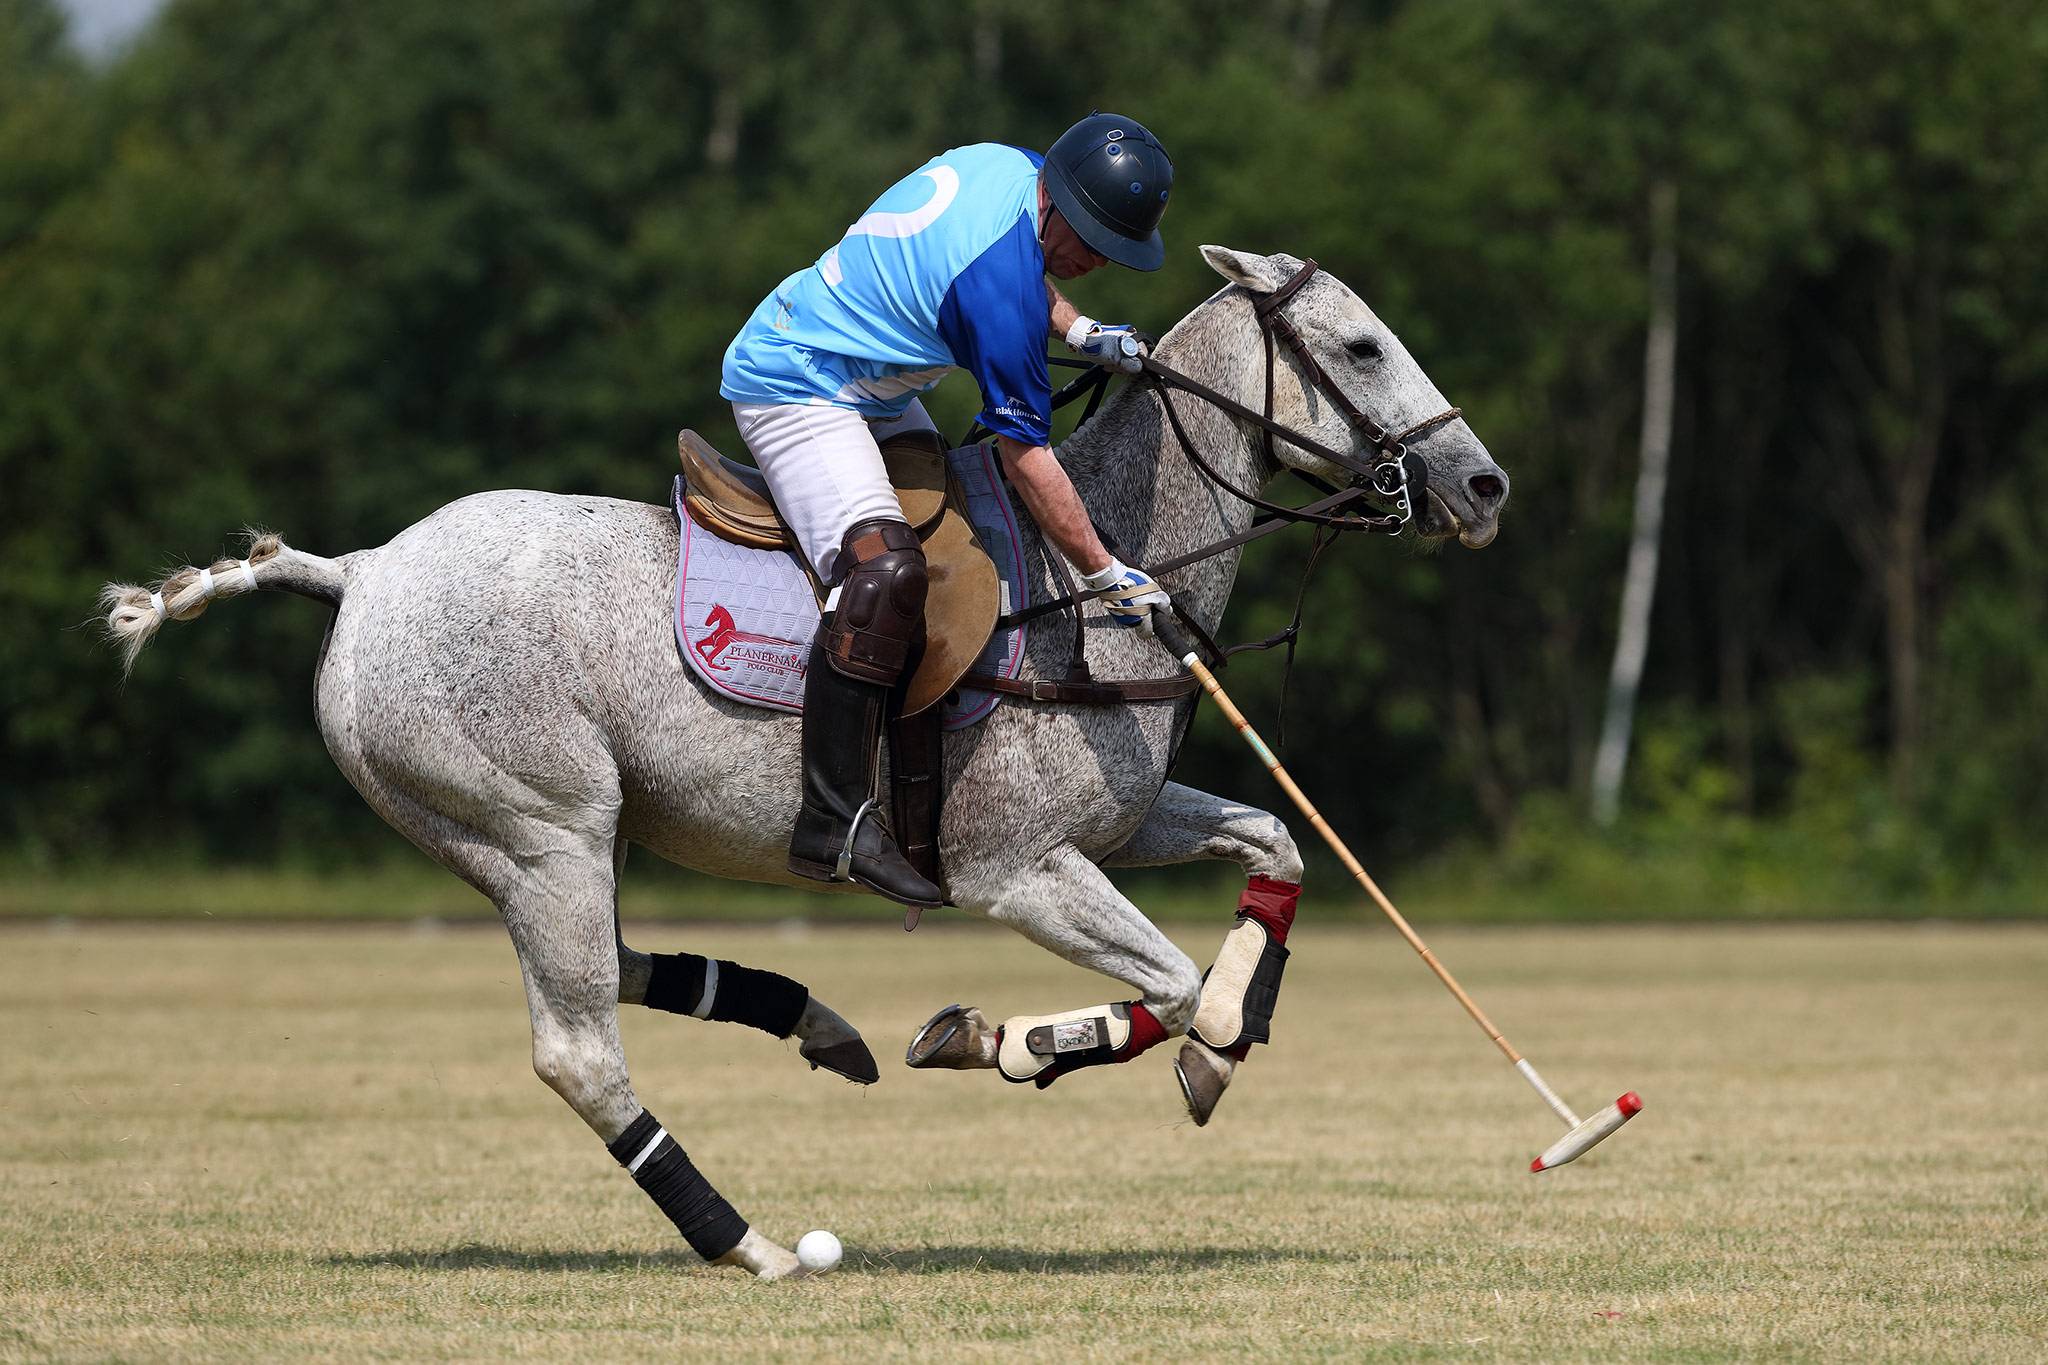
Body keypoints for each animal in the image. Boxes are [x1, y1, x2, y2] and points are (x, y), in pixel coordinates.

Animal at [99, 248, 1507, 1285]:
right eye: (1362, 346)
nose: (1481, 484)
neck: (1093, 567)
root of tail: (363, 572)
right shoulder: (1012, 869)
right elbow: (1182, 990)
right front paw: (1052, 1045)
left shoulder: (1113, 825)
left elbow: (1274, 844)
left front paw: (1025, 1038)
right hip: (535, 823)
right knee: (578, 1048)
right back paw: (754, 1245)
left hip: (533, 837)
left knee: (615, 967)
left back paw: (809, 1023)